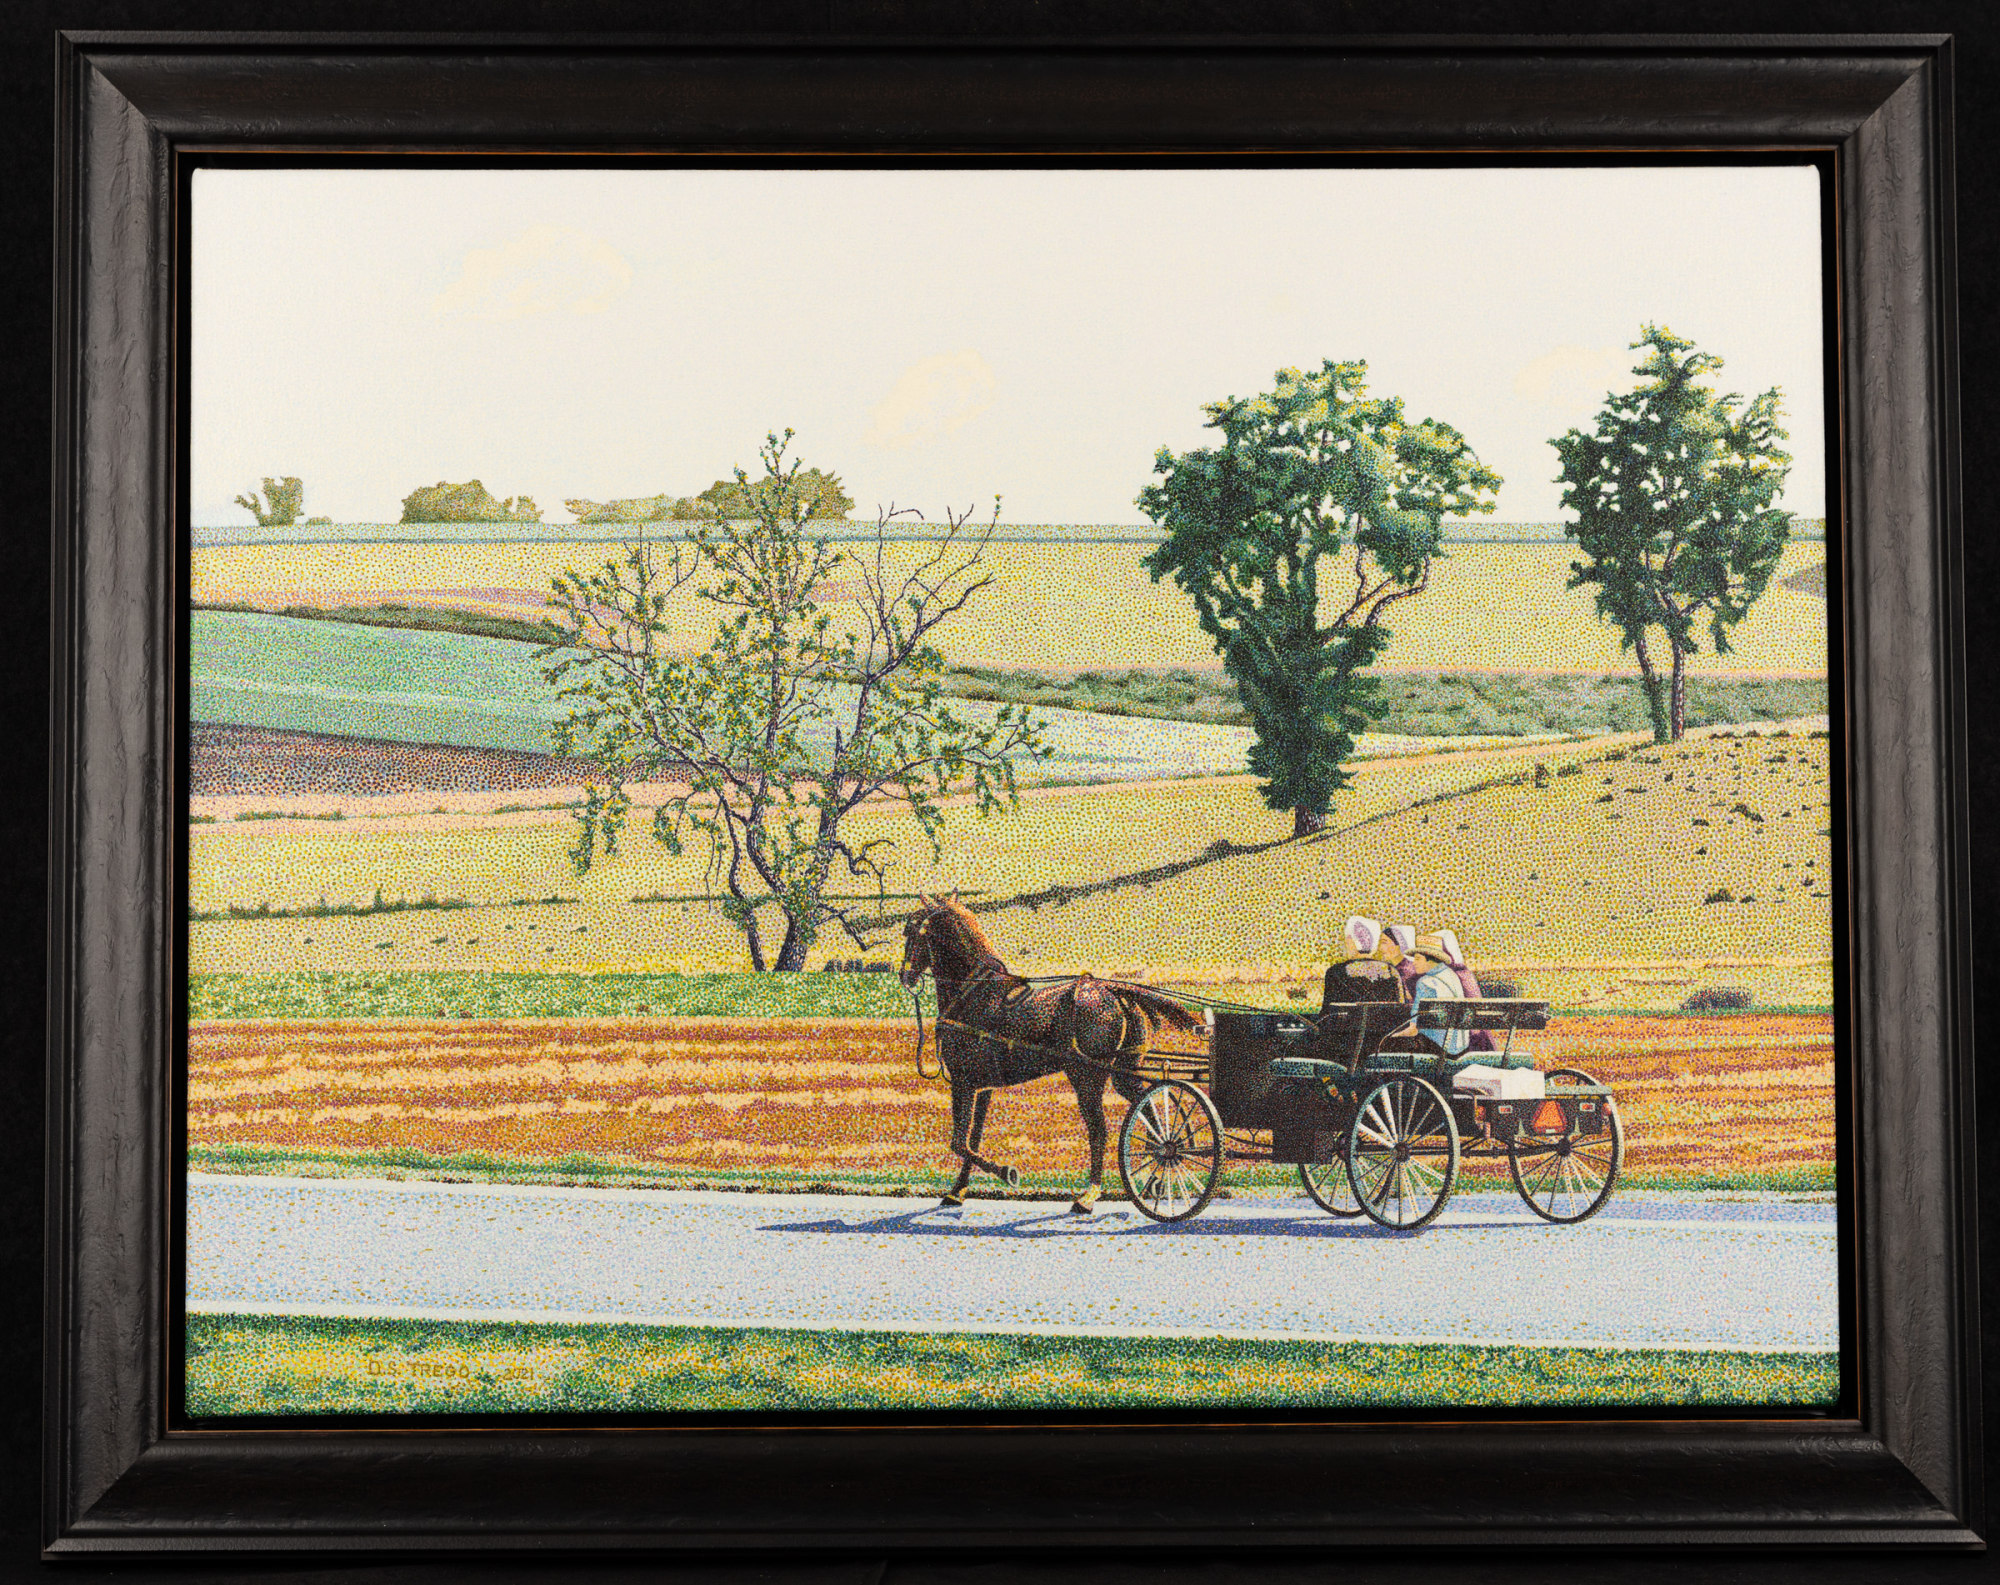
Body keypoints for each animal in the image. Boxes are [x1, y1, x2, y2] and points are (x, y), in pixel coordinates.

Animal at [898, 892, 1206, 1214]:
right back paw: (1156, 1174)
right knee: (1148, 1111)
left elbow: (959, 1142)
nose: (905, 975)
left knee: (1099, 1130)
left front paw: (1007, 1173)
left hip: (1086, 1077)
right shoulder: (983, 1087)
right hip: (1123, 1074)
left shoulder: (963, 1082)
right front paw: (958, 1190)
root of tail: (1111, 990)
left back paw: (1089, 1195)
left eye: (911, 930)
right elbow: (973, 1139)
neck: (974, 995)